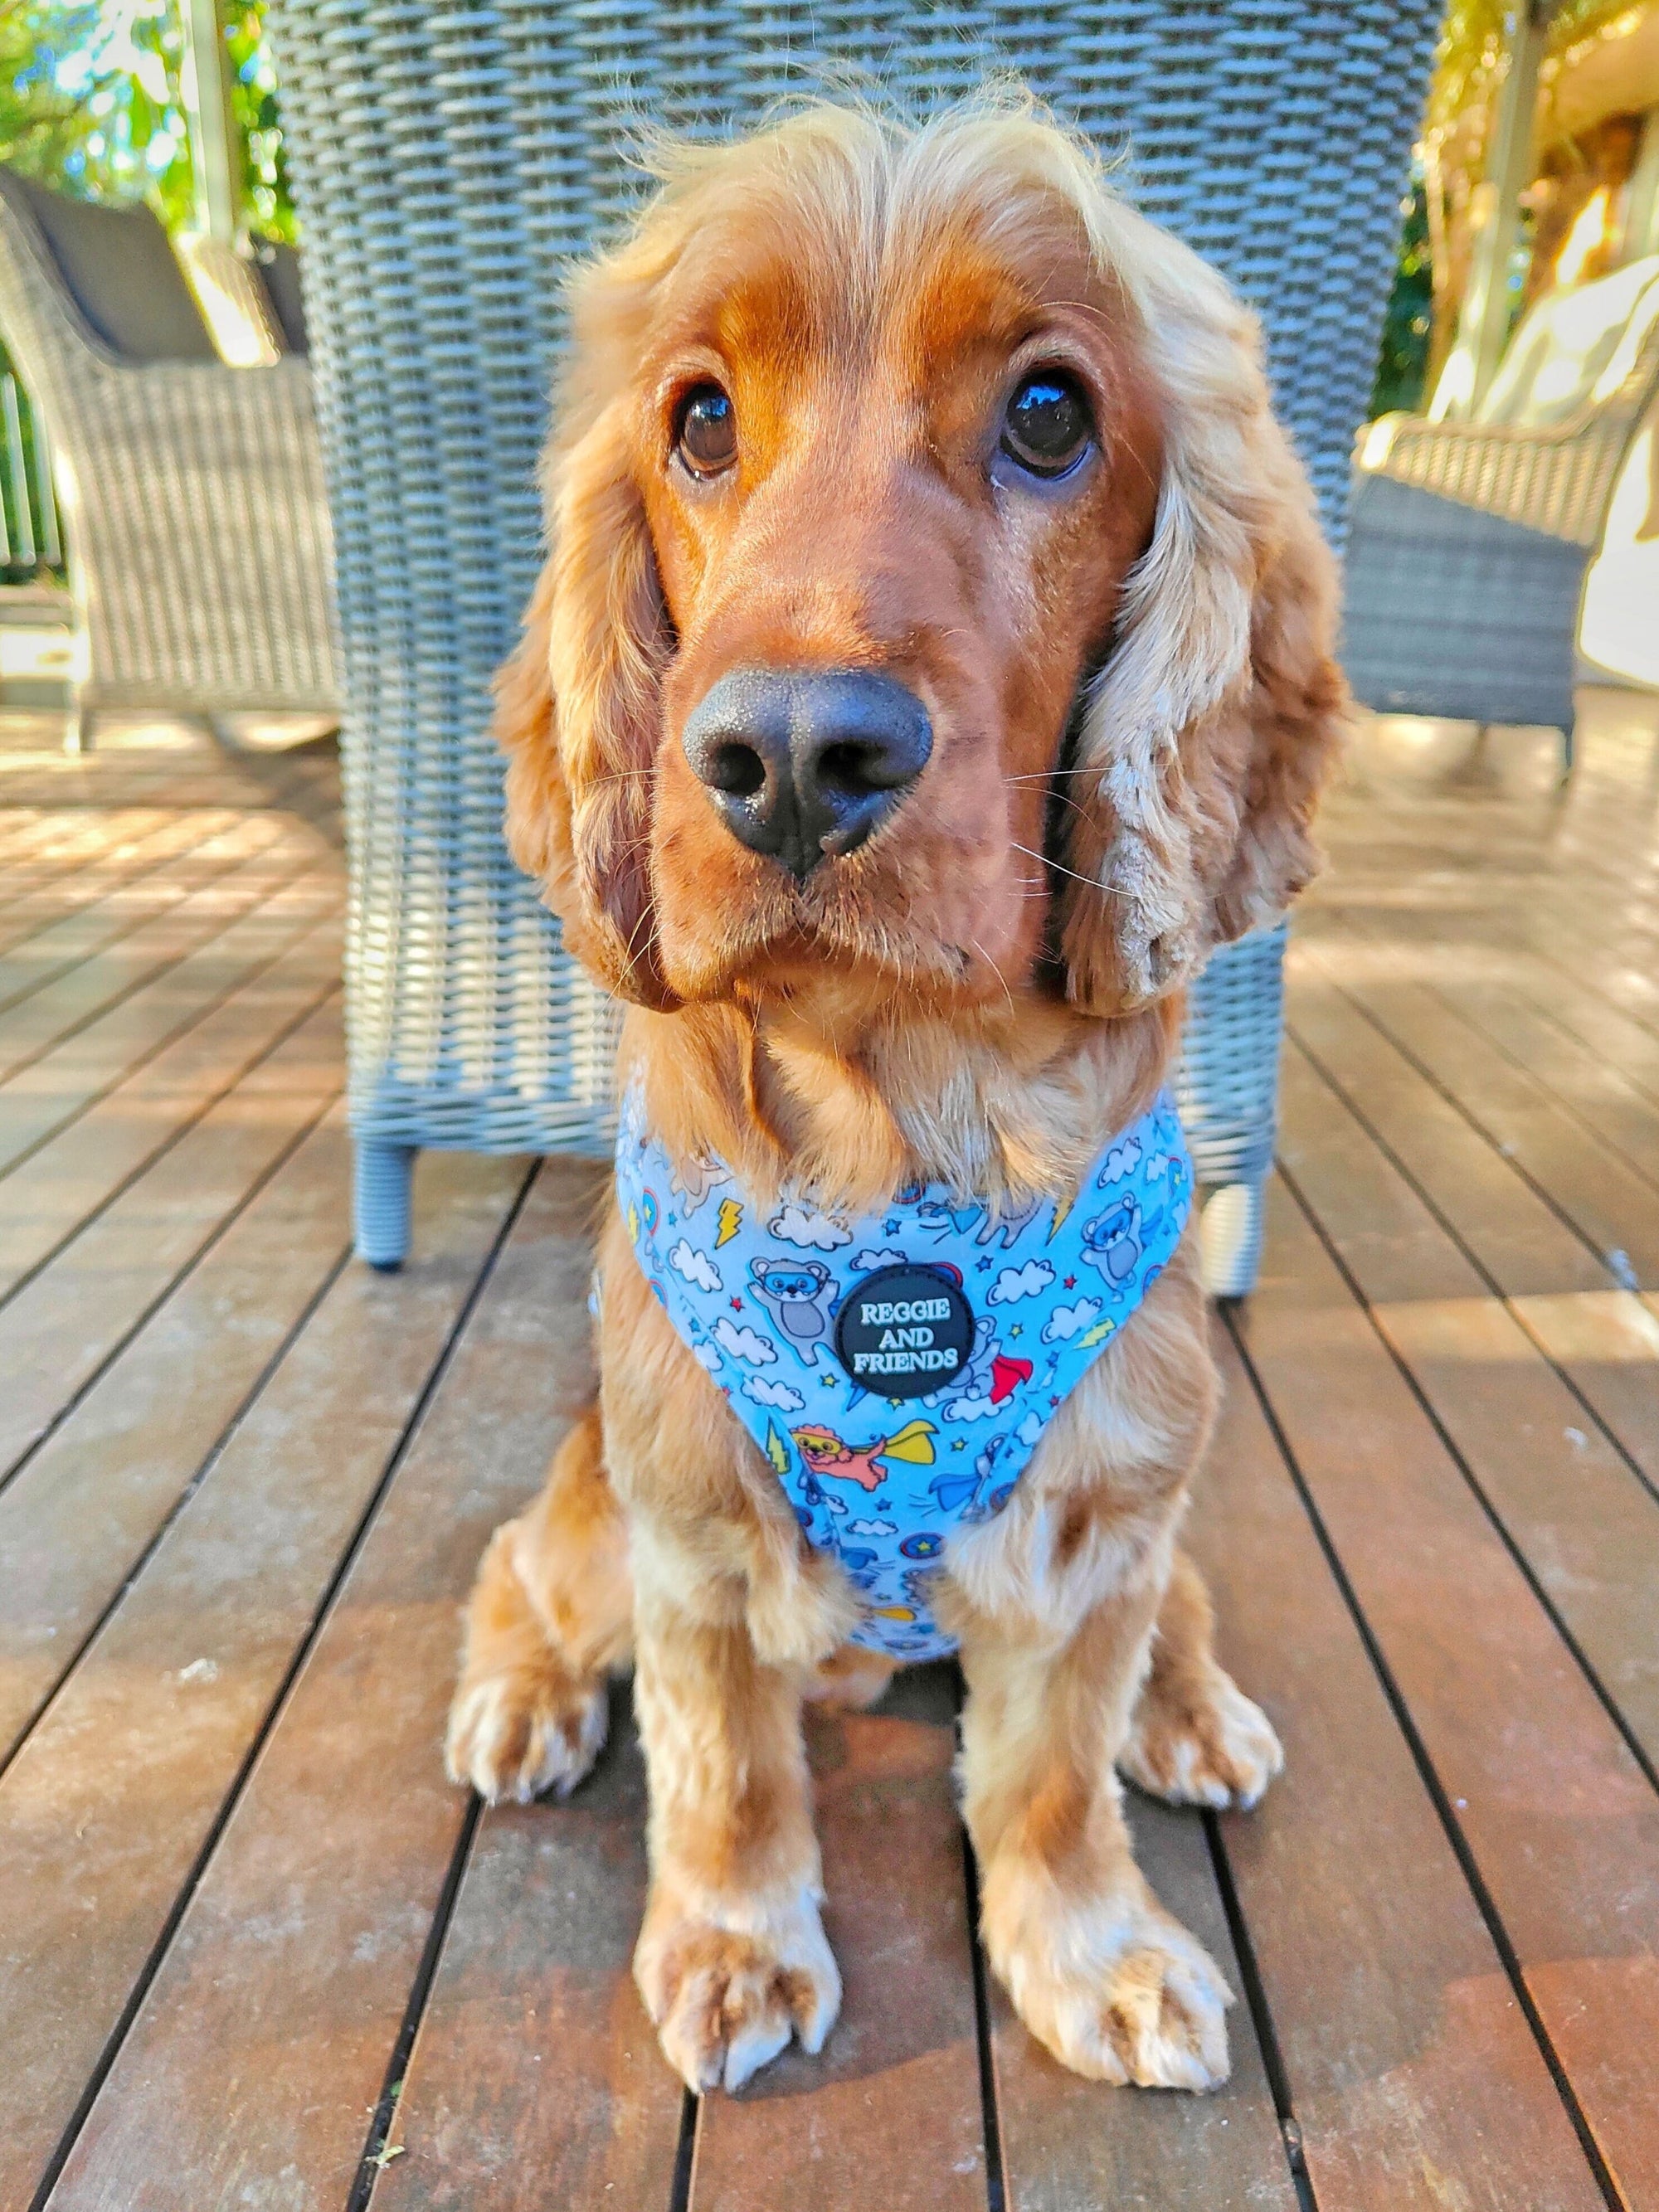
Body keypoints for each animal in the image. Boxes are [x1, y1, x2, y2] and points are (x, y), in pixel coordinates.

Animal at [445, 95, 1354, 2097]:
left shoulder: (1097, 1519)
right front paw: (732, 1945)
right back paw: (518, 1695)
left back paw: (1196, 1708)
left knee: (1178, 1608)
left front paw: (1096, 1950)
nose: (790, 755)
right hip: (596, 1503)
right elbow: (726, 1772)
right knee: (522, 1560)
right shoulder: (690, 1529)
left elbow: (1052, 1778)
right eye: (700, 419)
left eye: (1051, 415)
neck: (901, 1155)